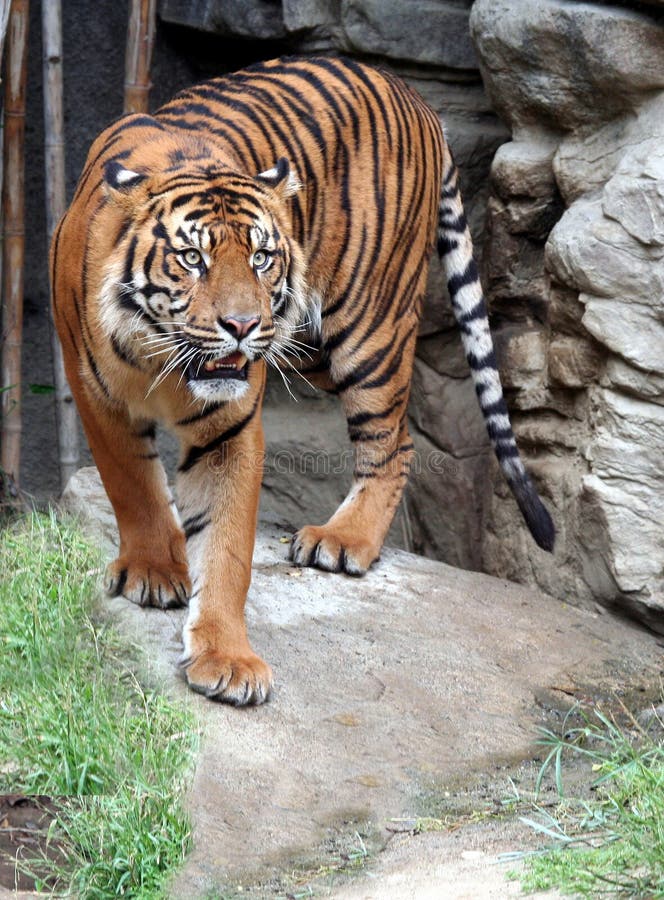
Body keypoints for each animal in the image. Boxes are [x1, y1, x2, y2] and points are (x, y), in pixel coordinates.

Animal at [50, 56, 556, 708]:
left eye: (261, 257)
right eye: (193, 259)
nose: (243, 326)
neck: (162, 356)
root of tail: (414, 96)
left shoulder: (230, 428)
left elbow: (228, 547)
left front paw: (227, 658)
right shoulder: (95, 394)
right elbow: (132, 485)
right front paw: (155, 570)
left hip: (366, 327)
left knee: (395, 439)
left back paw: (344, 540)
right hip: (311, 345)